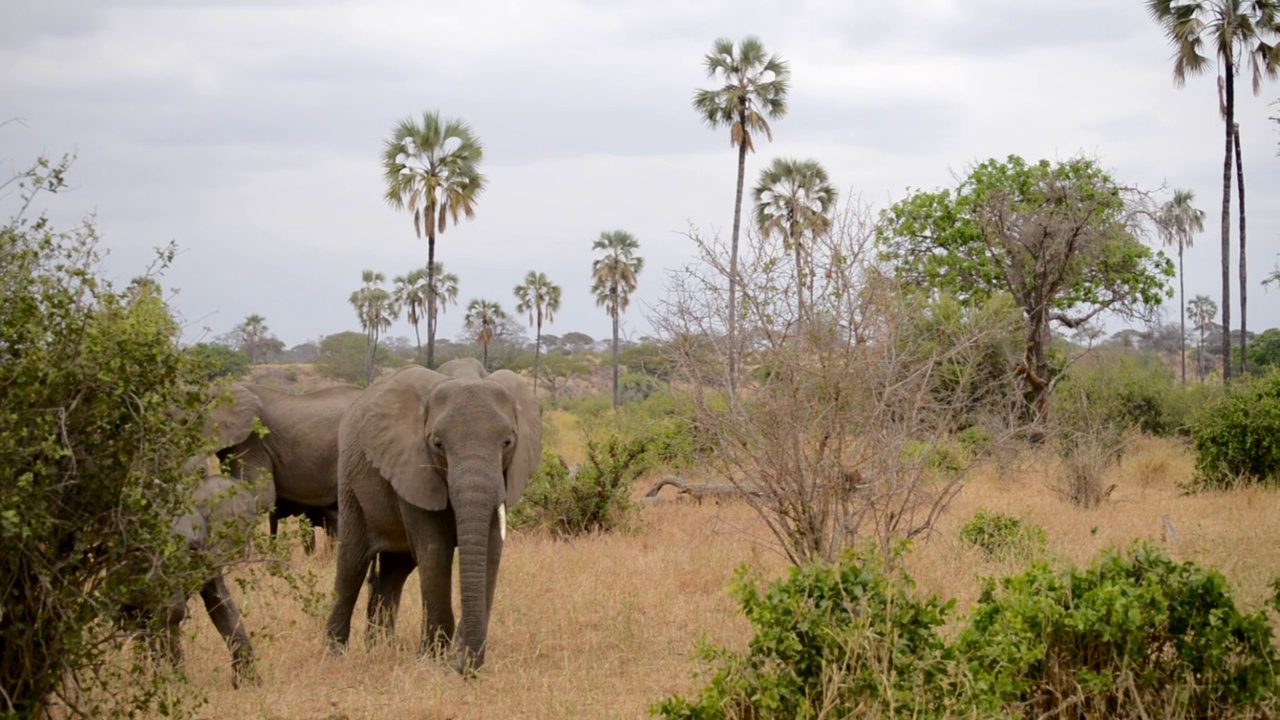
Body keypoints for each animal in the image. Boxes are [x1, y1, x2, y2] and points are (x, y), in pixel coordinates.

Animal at [325, 356, 540, 671]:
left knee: (393, 572)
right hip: (350, 484)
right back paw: (334, 654)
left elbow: (491, 550)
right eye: (438, 444)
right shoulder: (412, 466)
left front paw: (459, 659)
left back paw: (380, 649)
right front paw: (432, 660)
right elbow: (435, 550)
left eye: (508, 442)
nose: (461, 668)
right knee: (351, 566)